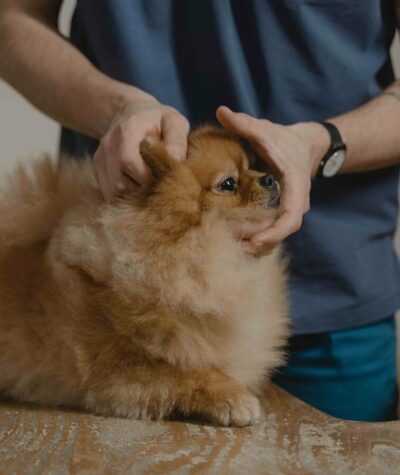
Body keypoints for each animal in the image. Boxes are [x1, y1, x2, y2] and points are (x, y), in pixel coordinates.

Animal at [0, 126, 290, 428]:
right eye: (229, 183)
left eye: (251, 166)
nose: (269, 178)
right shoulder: (117, 367)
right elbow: (188, 372)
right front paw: (234, 397)